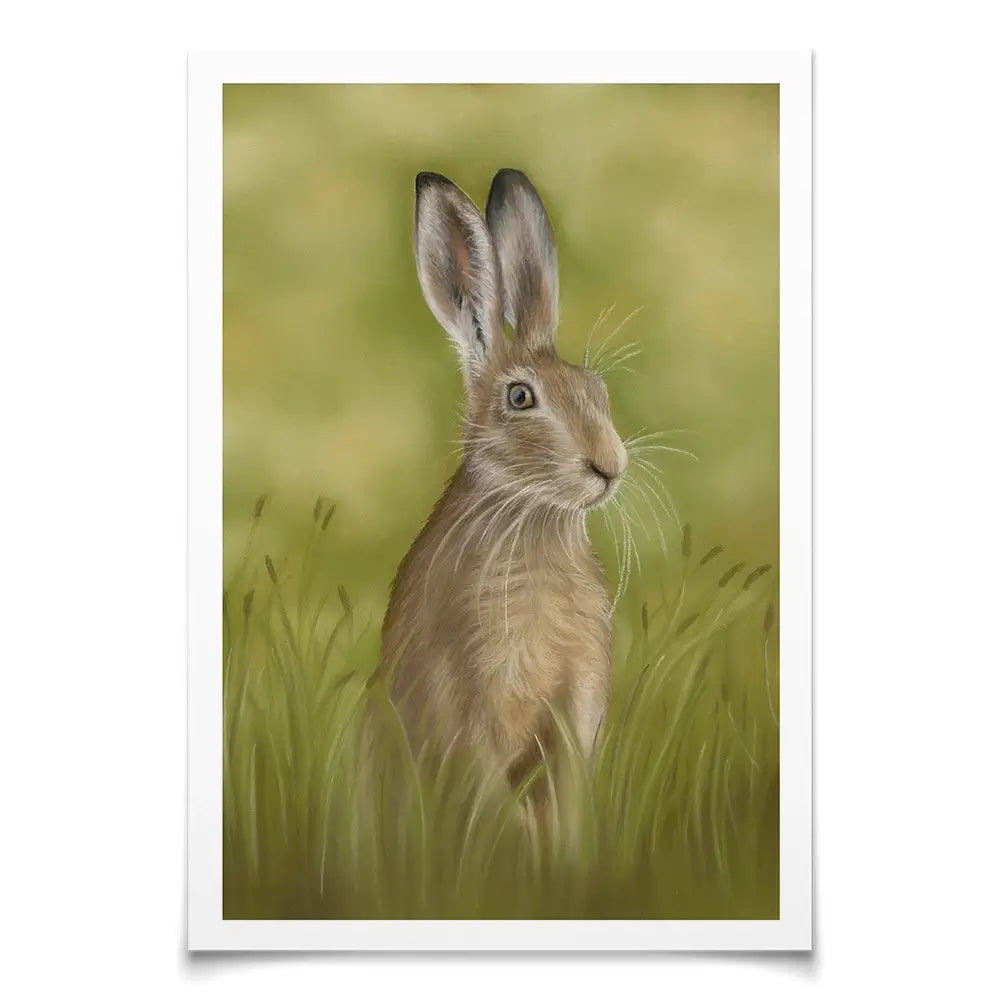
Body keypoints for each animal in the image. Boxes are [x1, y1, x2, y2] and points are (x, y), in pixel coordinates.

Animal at [380, 169, 628, 797]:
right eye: (519, 398)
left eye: (596, 389)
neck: (534, 517)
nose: (609, 465)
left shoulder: (575, 711)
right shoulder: (471, 709)